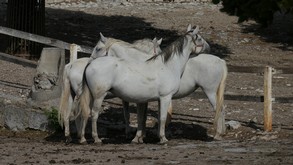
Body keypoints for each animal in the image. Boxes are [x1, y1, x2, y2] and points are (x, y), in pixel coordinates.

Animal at [75, 24, 208, 143]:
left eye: (98, 48)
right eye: (199, 38)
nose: (208, 47)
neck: (167, 66)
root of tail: (90, 65)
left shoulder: (151, 99)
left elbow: (146, 118)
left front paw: (141, 138)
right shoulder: (165, 97)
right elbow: (161, 118)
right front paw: (162, 139)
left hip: (91, 96)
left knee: (85, 112)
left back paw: (82, 139)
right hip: (99, 96)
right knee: (94, 114)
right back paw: (96, 139)